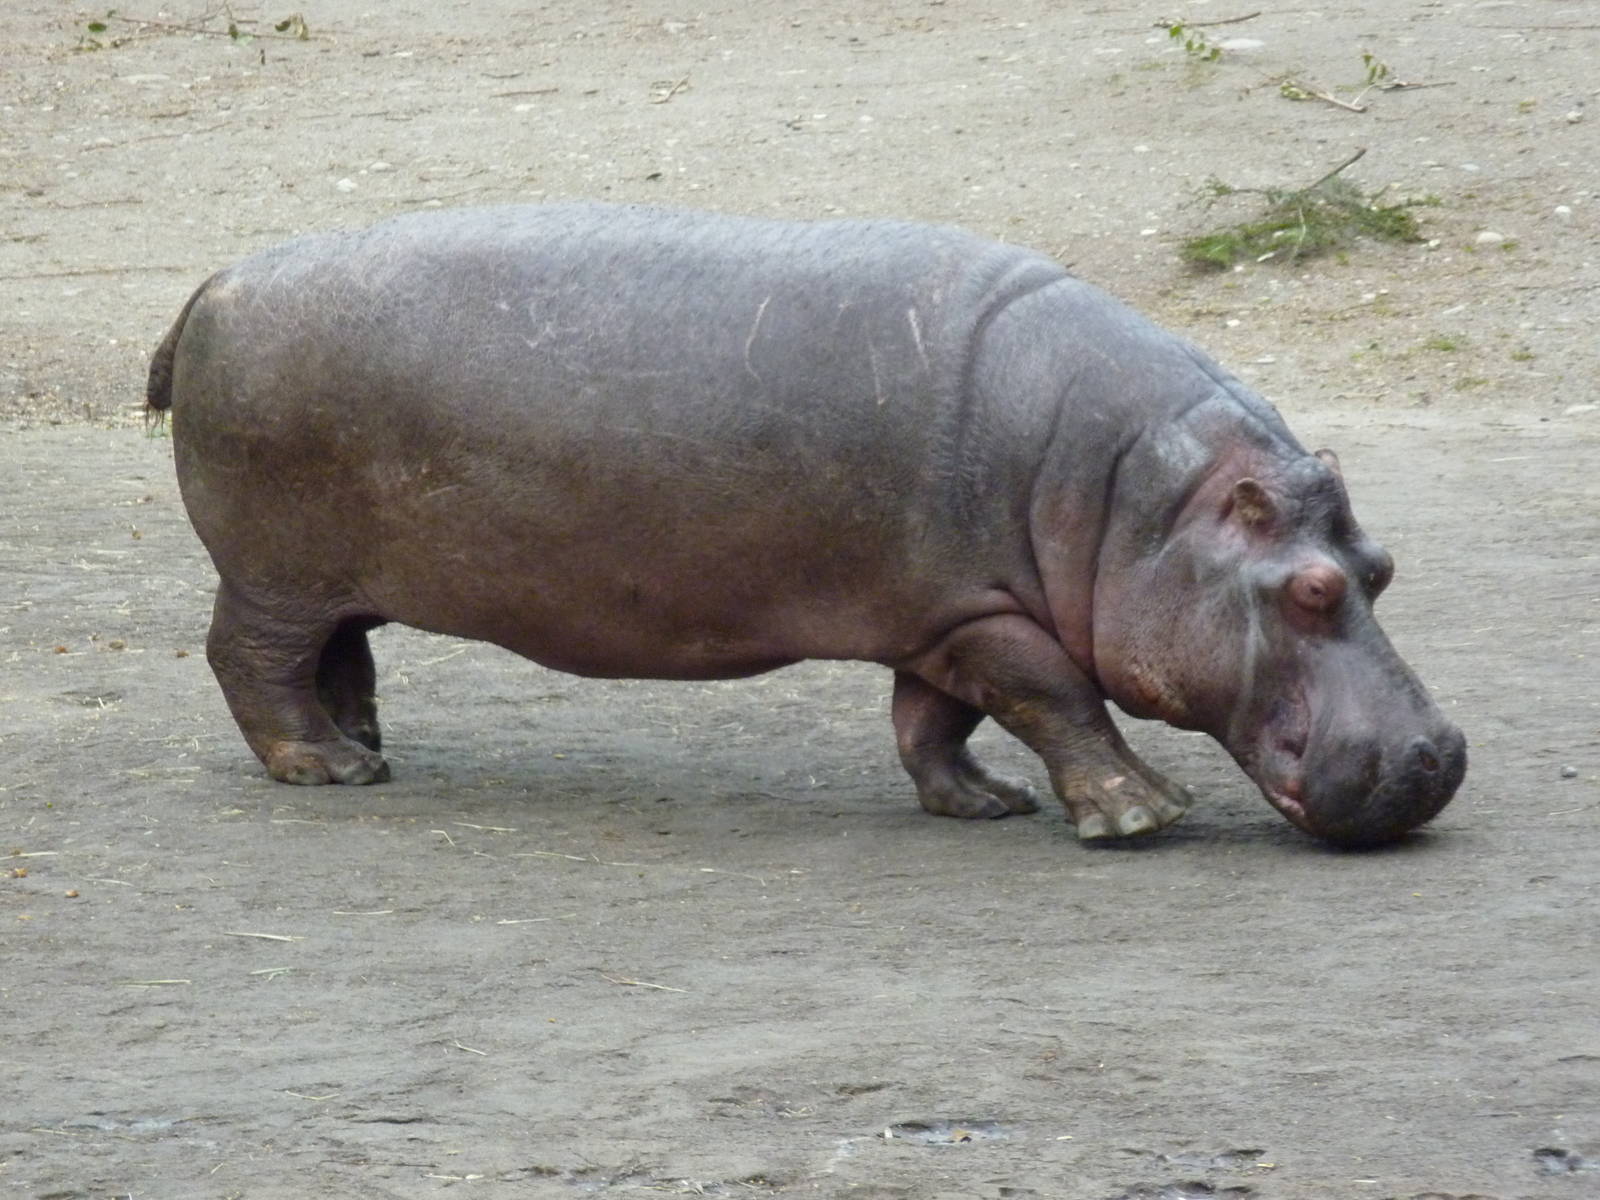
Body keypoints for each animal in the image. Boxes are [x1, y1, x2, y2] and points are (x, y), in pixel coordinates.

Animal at [146, 203, 1464, 846]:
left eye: (1383, 566)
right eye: (1309, 591)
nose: (1437, 756)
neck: (1146, 503)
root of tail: (209, 282)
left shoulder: (947, 613)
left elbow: (935, 720)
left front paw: (981, 804)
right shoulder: (993, 614)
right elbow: (1057, 700)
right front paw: (1142, 815)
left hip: (336, 574)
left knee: (342, 655)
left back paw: (370, 750)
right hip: (272, 571)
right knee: (250, 659)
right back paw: (322, 770)